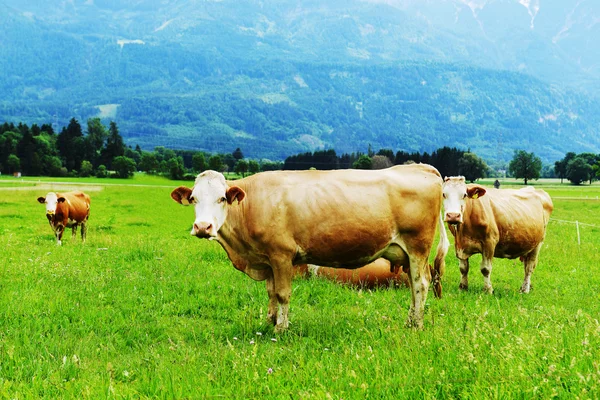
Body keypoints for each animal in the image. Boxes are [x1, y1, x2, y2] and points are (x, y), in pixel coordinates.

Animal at [171, 164, 448, 332]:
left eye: (221, 198)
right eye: (194, 198)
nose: (203, 227)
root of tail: (419, 167)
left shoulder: (281, 255)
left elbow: (282, 294)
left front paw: (281, 328)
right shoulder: (267, 259)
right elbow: (270, 293)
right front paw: (269, 321)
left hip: (417, 248)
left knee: (421, 284)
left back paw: (416, 324)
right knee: (414, 287)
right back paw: (410, 320)